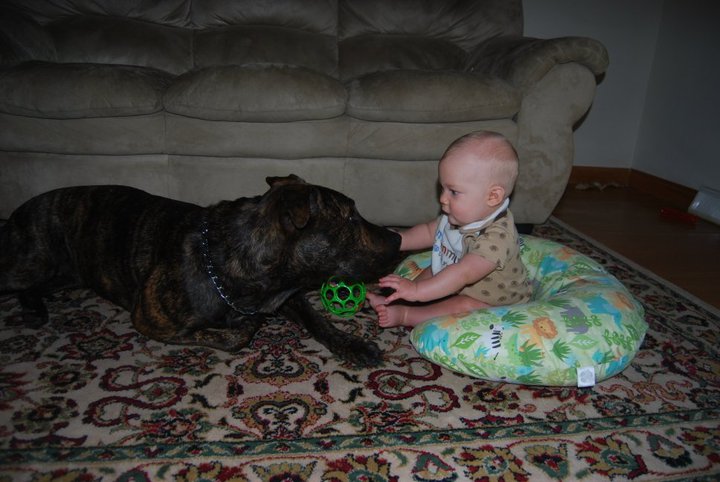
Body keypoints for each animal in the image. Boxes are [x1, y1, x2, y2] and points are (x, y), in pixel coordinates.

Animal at [0, 175, 401, 367]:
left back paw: (34, 309)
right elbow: (234, 335)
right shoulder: (151, 320)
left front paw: (352, 345)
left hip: (67, 273)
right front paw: (245, 324)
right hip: (33, 262)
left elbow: (318, 320)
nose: (398, 238)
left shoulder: (288, 294)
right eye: (350, 218)